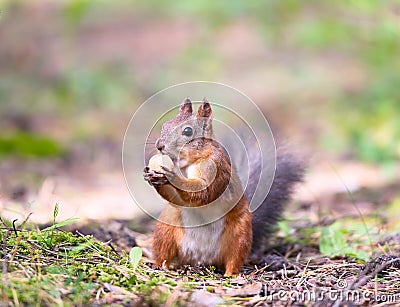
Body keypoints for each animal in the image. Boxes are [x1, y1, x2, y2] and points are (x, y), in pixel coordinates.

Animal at [142, 98, 302, 276]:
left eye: (188, 131)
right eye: (165, 125)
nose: (159, 146)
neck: (189, 163)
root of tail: (202, 258)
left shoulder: (217, 168)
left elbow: (204, 192)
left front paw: (171, 177)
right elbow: (178, 199)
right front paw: (151, 176)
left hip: (239, 235)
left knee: (234, 258)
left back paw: (231, 274)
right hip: (166, 229)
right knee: (164, 253)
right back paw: (159, 265)